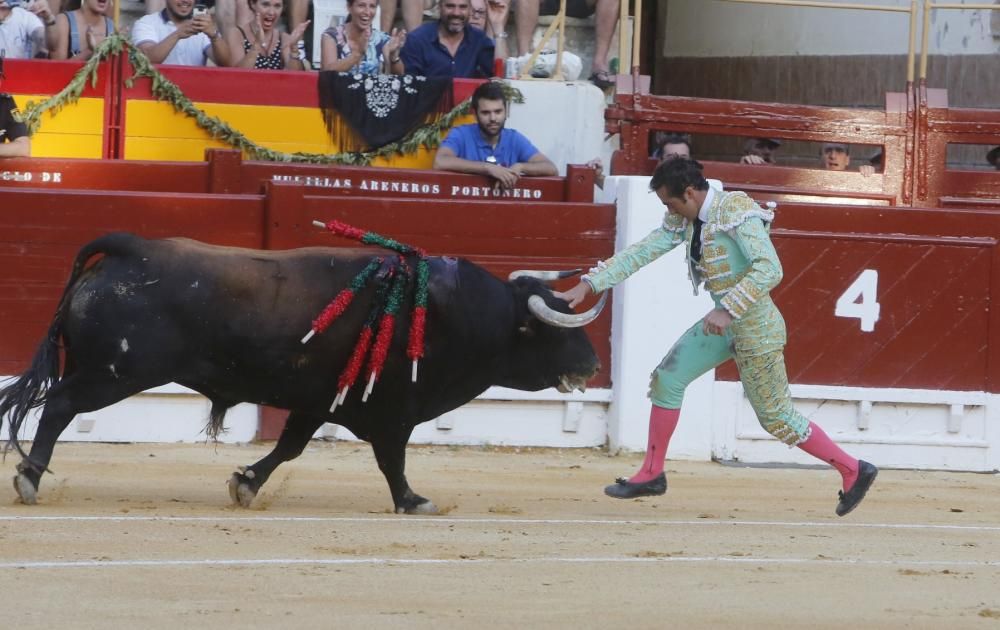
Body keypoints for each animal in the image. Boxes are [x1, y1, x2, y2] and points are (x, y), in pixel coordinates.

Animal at [1, 232, 600, 512]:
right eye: (554, 331)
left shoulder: (320, 401)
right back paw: (29, 478)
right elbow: (392, 460)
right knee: (59, 407)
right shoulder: (393, 412)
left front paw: (245, 483)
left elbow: (289, 447)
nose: (593, 365)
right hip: (113, 373)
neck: (455, 313)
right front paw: (413, 501)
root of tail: (130, 249)